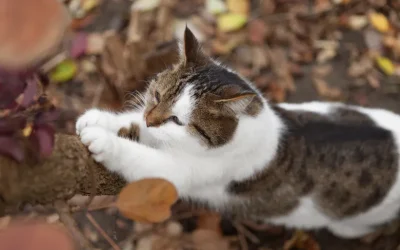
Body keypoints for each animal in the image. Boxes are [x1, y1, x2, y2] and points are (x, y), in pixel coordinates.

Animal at [76, 26, 400, 238]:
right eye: (156, 96)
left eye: (178, 121)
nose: (151, 119)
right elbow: (132, 126)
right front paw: (97, 119)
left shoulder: (184, 171)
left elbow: (142, 160)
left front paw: (105, 141)